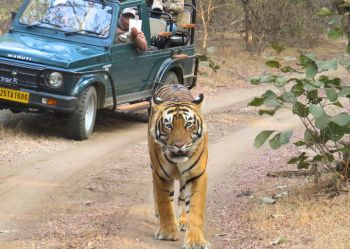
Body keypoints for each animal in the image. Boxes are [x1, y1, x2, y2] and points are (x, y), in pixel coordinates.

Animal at [148, 83, 211, 249]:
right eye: (168, 125)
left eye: (188, 124)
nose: (179, 145)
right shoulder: (161, 175)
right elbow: (164, 204)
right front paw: (167, 233)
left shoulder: (197, 175)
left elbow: (196, 209)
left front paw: (196, 240)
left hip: (184, 179)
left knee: (182, 198)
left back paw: (183, 221)